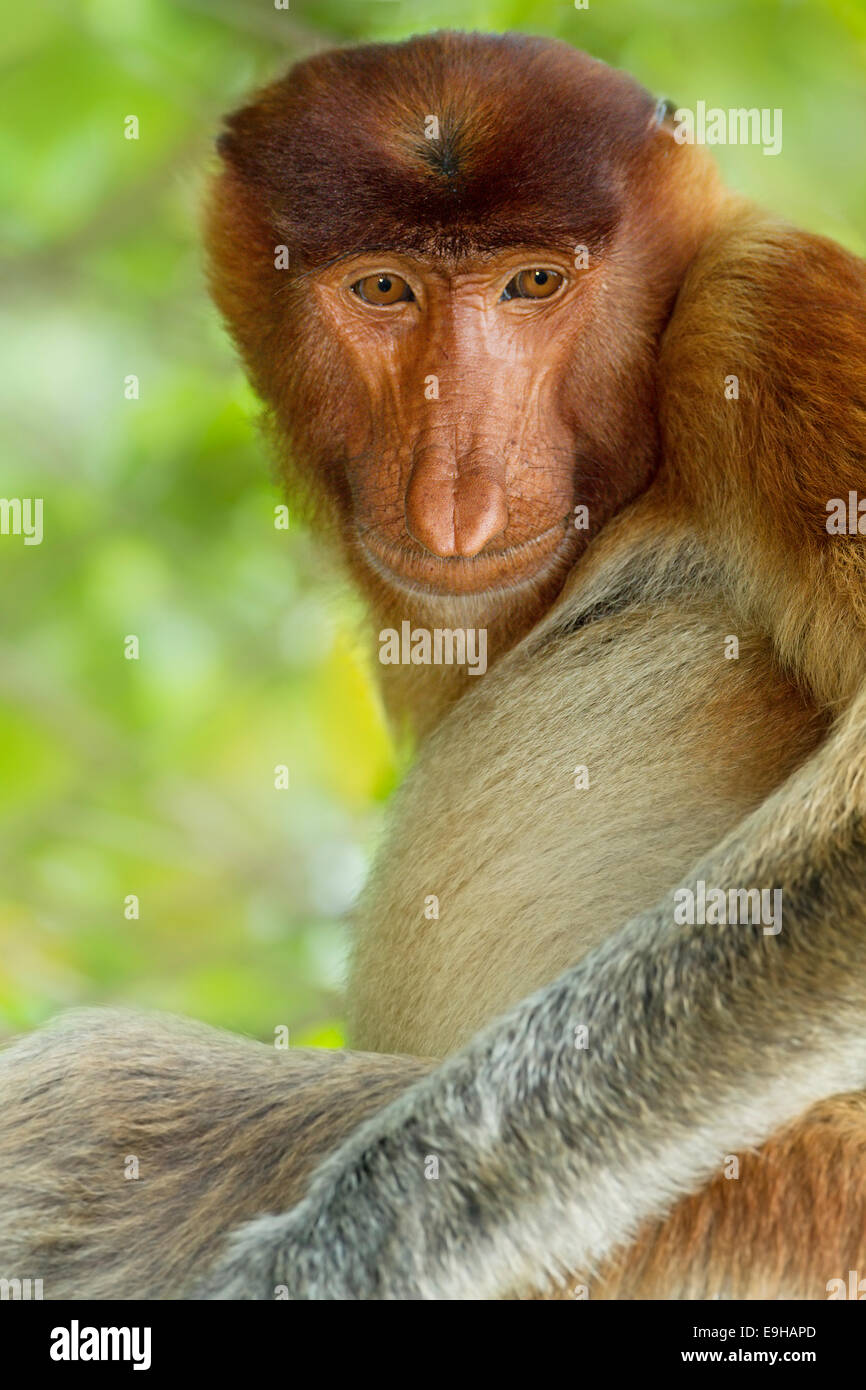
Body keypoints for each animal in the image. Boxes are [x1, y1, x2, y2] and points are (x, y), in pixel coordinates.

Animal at [1, 30, 866, 1301]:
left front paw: (342, 1248)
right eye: (381, 288)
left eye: (533, 284)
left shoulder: (765, 313)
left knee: (98, 1089)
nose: (456, 501)